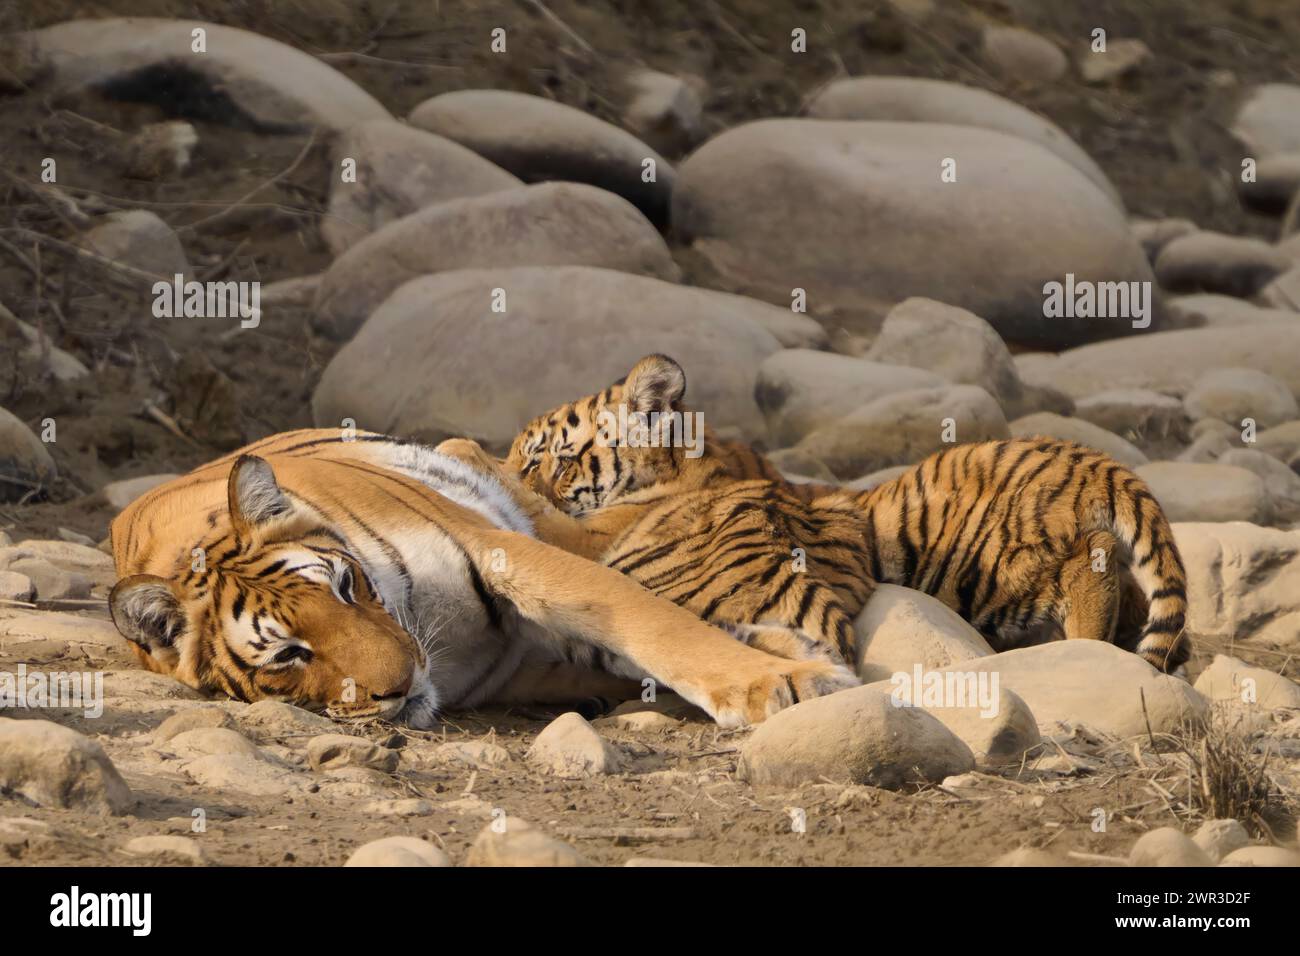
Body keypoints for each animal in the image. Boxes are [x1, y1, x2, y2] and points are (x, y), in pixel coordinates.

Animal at [108, 428, 858, 729]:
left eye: (345, 587)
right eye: (290, 654)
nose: (400, 685)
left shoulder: (504, 550)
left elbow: (647, 616)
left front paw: (784, 681)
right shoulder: (527, 657)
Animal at [493, 354, 1191, 674]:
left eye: (545, 457)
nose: (519, 464)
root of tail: (1090, 458)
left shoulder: (591, 532)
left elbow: (537, 513)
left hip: (989, 565)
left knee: (1089, 567)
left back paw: (1090, 639)